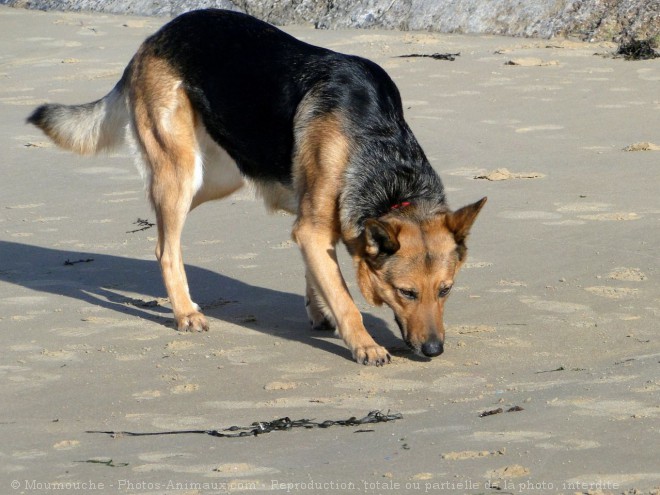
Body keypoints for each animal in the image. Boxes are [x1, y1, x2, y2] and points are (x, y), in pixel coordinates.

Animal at [28, 7, 484, 364]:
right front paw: (363, 344)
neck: (382, 148)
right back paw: (184, 312)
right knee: (165, 248)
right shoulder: (312, 229)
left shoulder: (311, 229)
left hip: (216, 177)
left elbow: (321, 277)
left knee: (164, 231)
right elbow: (345, 299)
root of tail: (154, 37)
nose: (434, 351)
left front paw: (320, 311)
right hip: (182, 173)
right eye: (406, 293)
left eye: (446, 291)